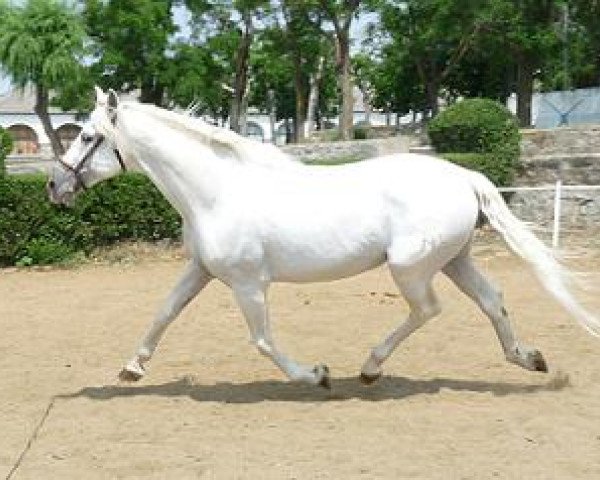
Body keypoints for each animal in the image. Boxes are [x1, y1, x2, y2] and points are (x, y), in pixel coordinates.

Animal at [45, 88, 596, 388]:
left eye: (88, 136)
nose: (53, 186)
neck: (217, 191)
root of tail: (464, 176)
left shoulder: (248, 284)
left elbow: (263, 339)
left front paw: (316, 375)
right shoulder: (201, 270)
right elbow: (163, 313)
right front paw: (131, 369)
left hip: (411, 267)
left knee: (428, 310)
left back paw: (370, 369)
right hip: (454, 259)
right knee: (491, 299)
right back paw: (528, 358)